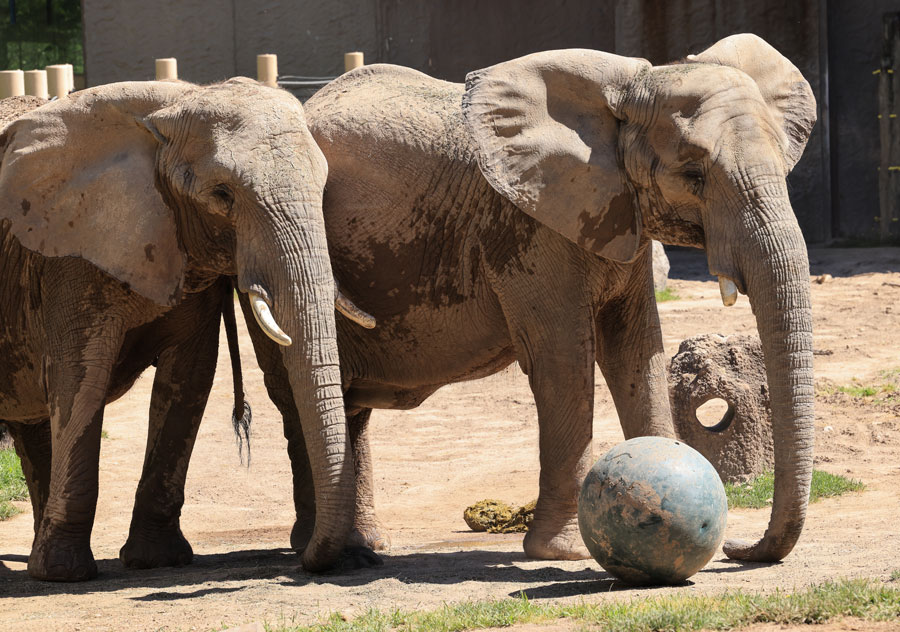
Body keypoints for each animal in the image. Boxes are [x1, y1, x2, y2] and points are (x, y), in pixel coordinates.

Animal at [0, 80, 370, 584]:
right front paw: (64, 575)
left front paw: (157, 560)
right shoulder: (70, 252)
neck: (171, 108)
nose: (305, 562)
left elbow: (188, 377)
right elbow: (80, 380)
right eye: (222, 194)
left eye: (324, 186)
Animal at [246, 32, 816, 568]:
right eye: (694, 175)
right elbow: (562, 361)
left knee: (349, 404)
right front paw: (564, 553)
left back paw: (365, 546)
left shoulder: (618, 214)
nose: (739, 549)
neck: (631, 89)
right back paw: (326, 550)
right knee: (295, 392)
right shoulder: (528, 228)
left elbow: (638, 353)